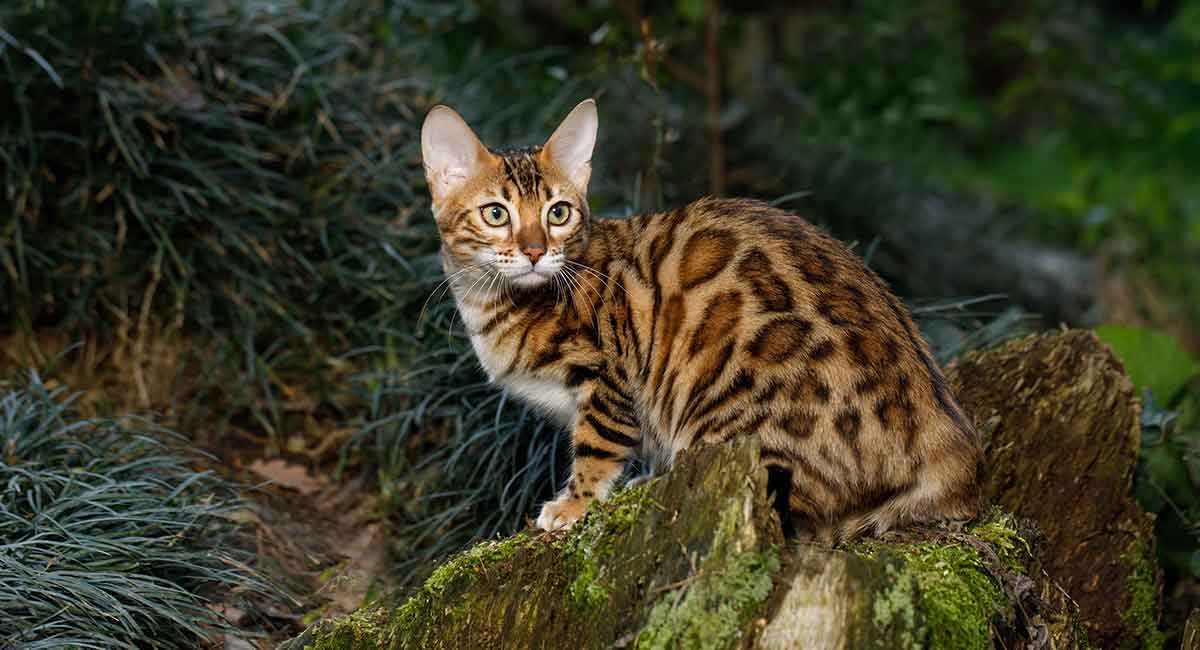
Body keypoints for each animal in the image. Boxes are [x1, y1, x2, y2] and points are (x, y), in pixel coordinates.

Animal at [422, 98, 984, 544]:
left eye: (558, 213)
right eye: (496, 214)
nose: (536, 251)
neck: (494, 303)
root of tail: (951, 437)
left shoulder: (608, 375)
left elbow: (598, 445)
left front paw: (574, 504)